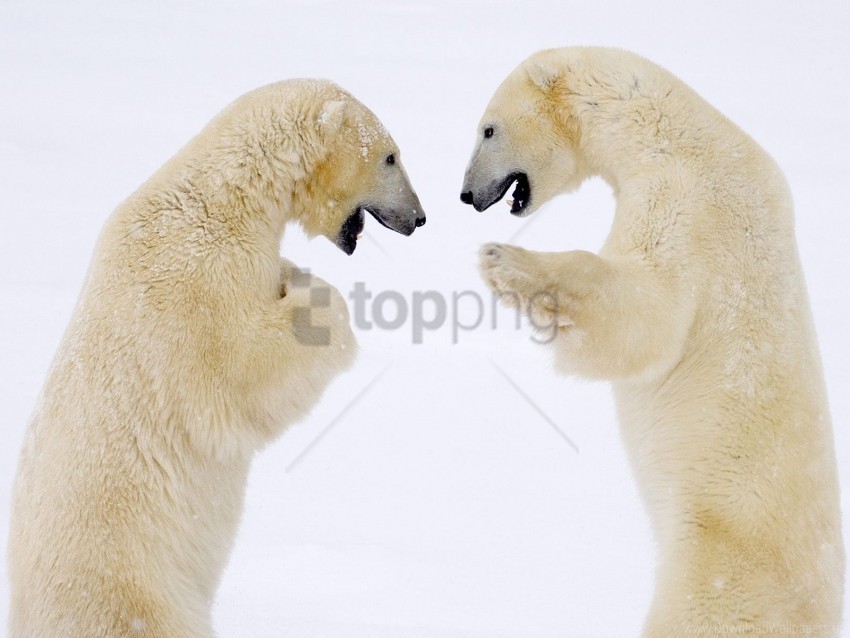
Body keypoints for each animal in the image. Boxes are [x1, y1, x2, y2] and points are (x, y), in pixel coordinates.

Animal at [8, 80, 424, 638]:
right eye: (390, 157)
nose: (419, 218)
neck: (224, 198)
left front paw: (293, 273)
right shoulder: (198, 280)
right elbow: (243, 372)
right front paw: (318, 300)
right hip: (133, 593)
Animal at [460, 47, 844, 636]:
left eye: (488, 129)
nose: (465, 194)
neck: (672, 130)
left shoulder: (688, 200)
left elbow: (649, 317)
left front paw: (506, 263)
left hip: (720, 574)